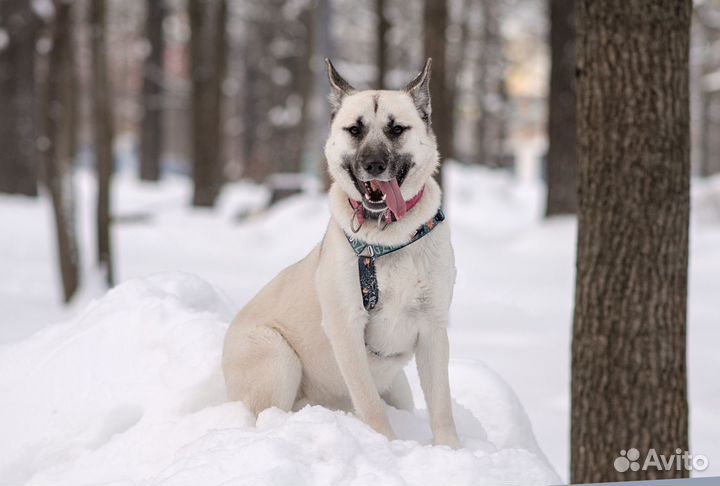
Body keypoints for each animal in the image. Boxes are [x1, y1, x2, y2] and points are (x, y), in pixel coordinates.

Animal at [224, 58, 462, 448]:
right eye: (354, 130)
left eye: (397, 129)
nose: (374, 164)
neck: (388, 238)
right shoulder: (346, 328)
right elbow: (369, 402)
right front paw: (387, 446)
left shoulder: (433, 328)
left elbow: (441, 404)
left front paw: (450, 451)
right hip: (276, 354)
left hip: (398, 386)